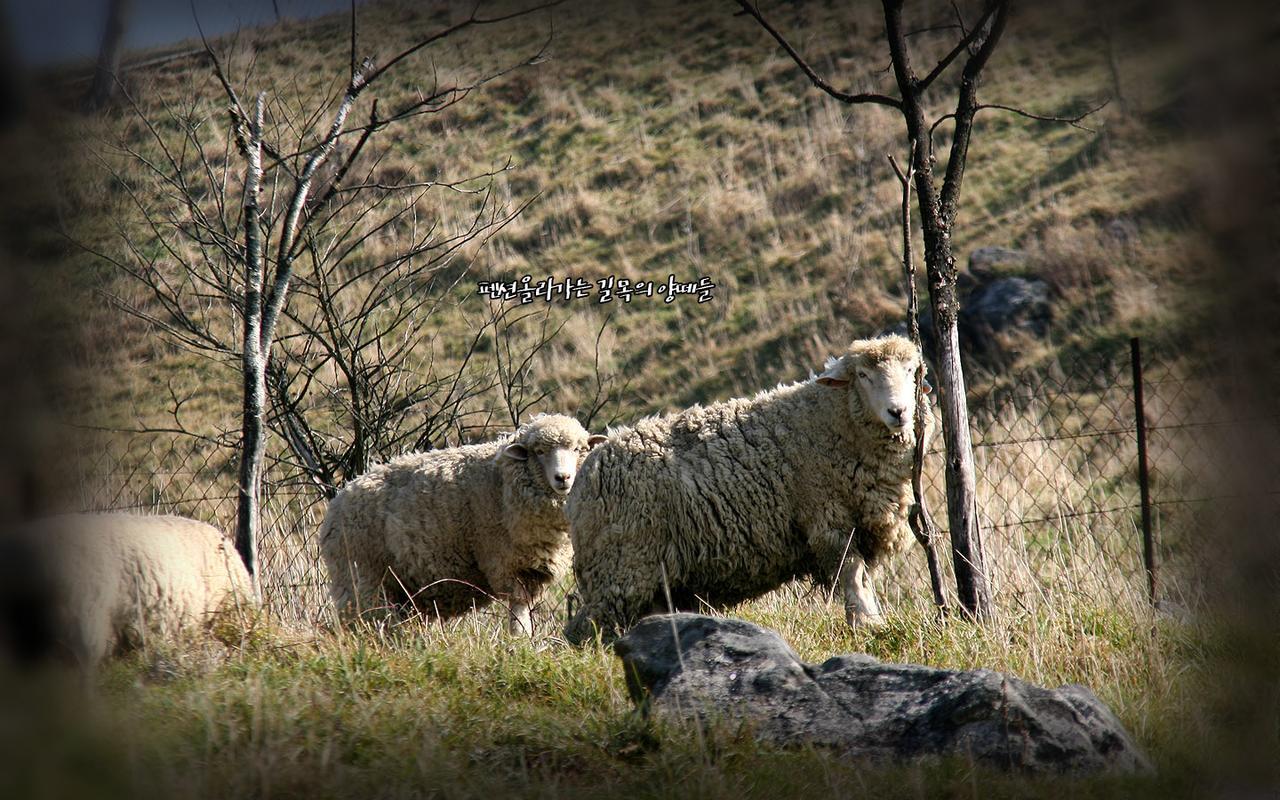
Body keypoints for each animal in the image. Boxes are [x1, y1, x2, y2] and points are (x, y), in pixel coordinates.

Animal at [317, 414, 601, 632]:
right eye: (540, 452)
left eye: (578, 449)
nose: (563, 478)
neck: (501, 480)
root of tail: (338, 501)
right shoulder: (507, 564)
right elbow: (518, 613)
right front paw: (519, 641)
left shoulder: (533, 570)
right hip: (360, 576)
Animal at [565, 332, 936, 645]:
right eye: (863, 375)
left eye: (910, 371)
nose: (898, 412)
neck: (833, 419)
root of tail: (587, 468)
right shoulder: (829, 520)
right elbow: (853, 577)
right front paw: (868, 625)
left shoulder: (862, 523)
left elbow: (862, 579)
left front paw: (869, 621)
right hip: (621, 564)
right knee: (587, 627)